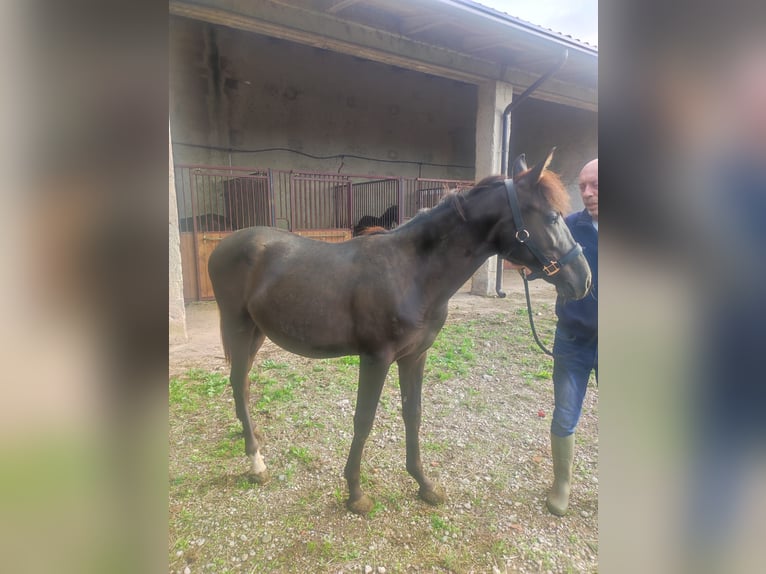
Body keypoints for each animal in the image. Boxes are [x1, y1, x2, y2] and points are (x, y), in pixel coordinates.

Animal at [207, 151, 592, 516]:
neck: (411, 274)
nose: (583, 280)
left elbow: (414, 414)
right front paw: (356, 494)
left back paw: (251, 435)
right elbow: (364, 419)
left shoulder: (415, 356)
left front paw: (425, 485)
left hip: (256, 332)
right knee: (238, 382)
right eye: (552, 217)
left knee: (242, 383)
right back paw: (256, 462)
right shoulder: (375, 359)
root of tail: (223, 246)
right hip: (237, 326)